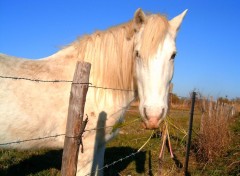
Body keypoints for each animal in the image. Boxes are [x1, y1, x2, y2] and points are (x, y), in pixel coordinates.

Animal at [0, 8, 188, 175]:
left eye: (173, 55)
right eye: (137, 53)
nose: (153, 116)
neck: (95, 85)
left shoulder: (100, 146)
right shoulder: (85, 151)